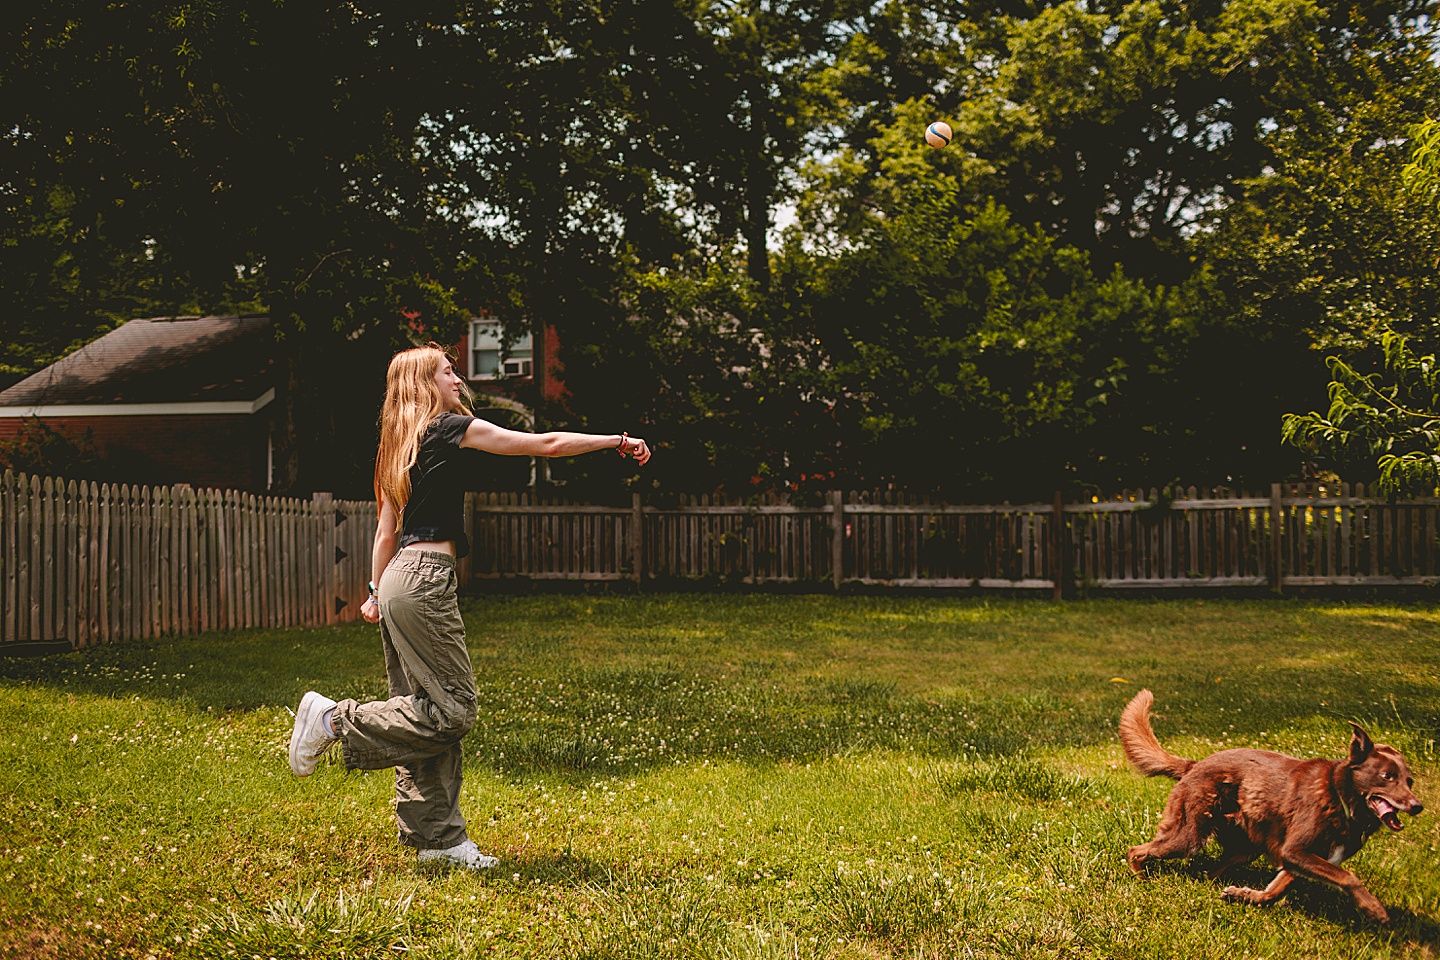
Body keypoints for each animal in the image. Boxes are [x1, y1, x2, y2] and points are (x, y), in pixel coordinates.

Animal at [1117, 690, 1422, 921]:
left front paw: (1247, 896)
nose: (1417, 806)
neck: (1339, 796)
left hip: (1245, 848)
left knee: (1209, 870)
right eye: (1387, 777)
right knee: (1137, 850)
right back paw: (1141, 879)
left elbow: (1274, 892)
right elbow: (1348, 876)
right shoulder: (1296, 851)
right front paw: (1374, 909)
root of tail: (1194, 765)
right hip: (1188, 836)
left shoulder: (1298, 860)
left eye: (1410, 781)